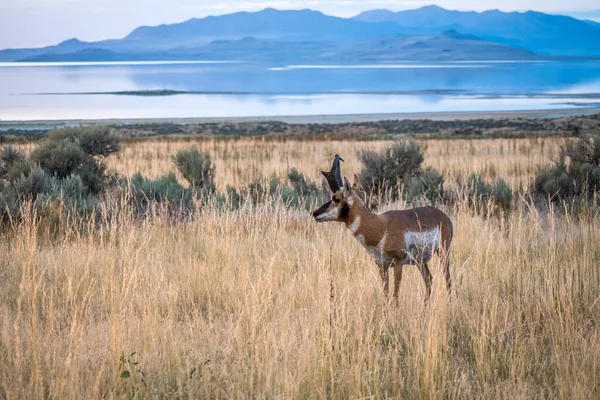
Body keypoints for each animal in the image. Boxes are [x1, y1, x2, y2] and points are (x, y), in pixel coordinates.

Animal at [312, 155, 452, 302]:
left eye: (336, 198)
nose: (315, 213)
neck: (381, 226)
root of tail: (442, 215)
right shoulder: (382, 266)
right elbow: (386, 294)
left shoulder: (398, 263)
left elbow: (395, 296)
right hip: (420, 261)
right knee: (429, 279)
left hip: (443, 252)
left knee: (447, 279)